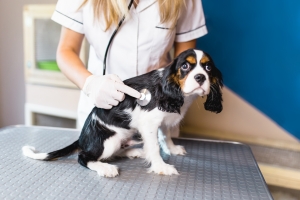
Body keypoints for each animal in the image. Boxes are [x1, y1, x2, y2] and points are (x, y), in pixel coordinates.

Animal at [22, 48, 221, 177]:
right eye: (185, 67)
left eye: (208, 68)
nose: (200, 77)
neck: (177, 93)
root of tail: (82, 138)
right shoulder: (149, 123)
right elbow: (155, 146)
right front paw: (161, 167)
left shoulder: (164, 120)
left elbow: (166, 135)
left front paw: (172, 148)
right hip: (109, 140)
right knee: (84, 157)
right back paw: (105, 168)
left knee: (116, 152)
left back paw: (134, 152)